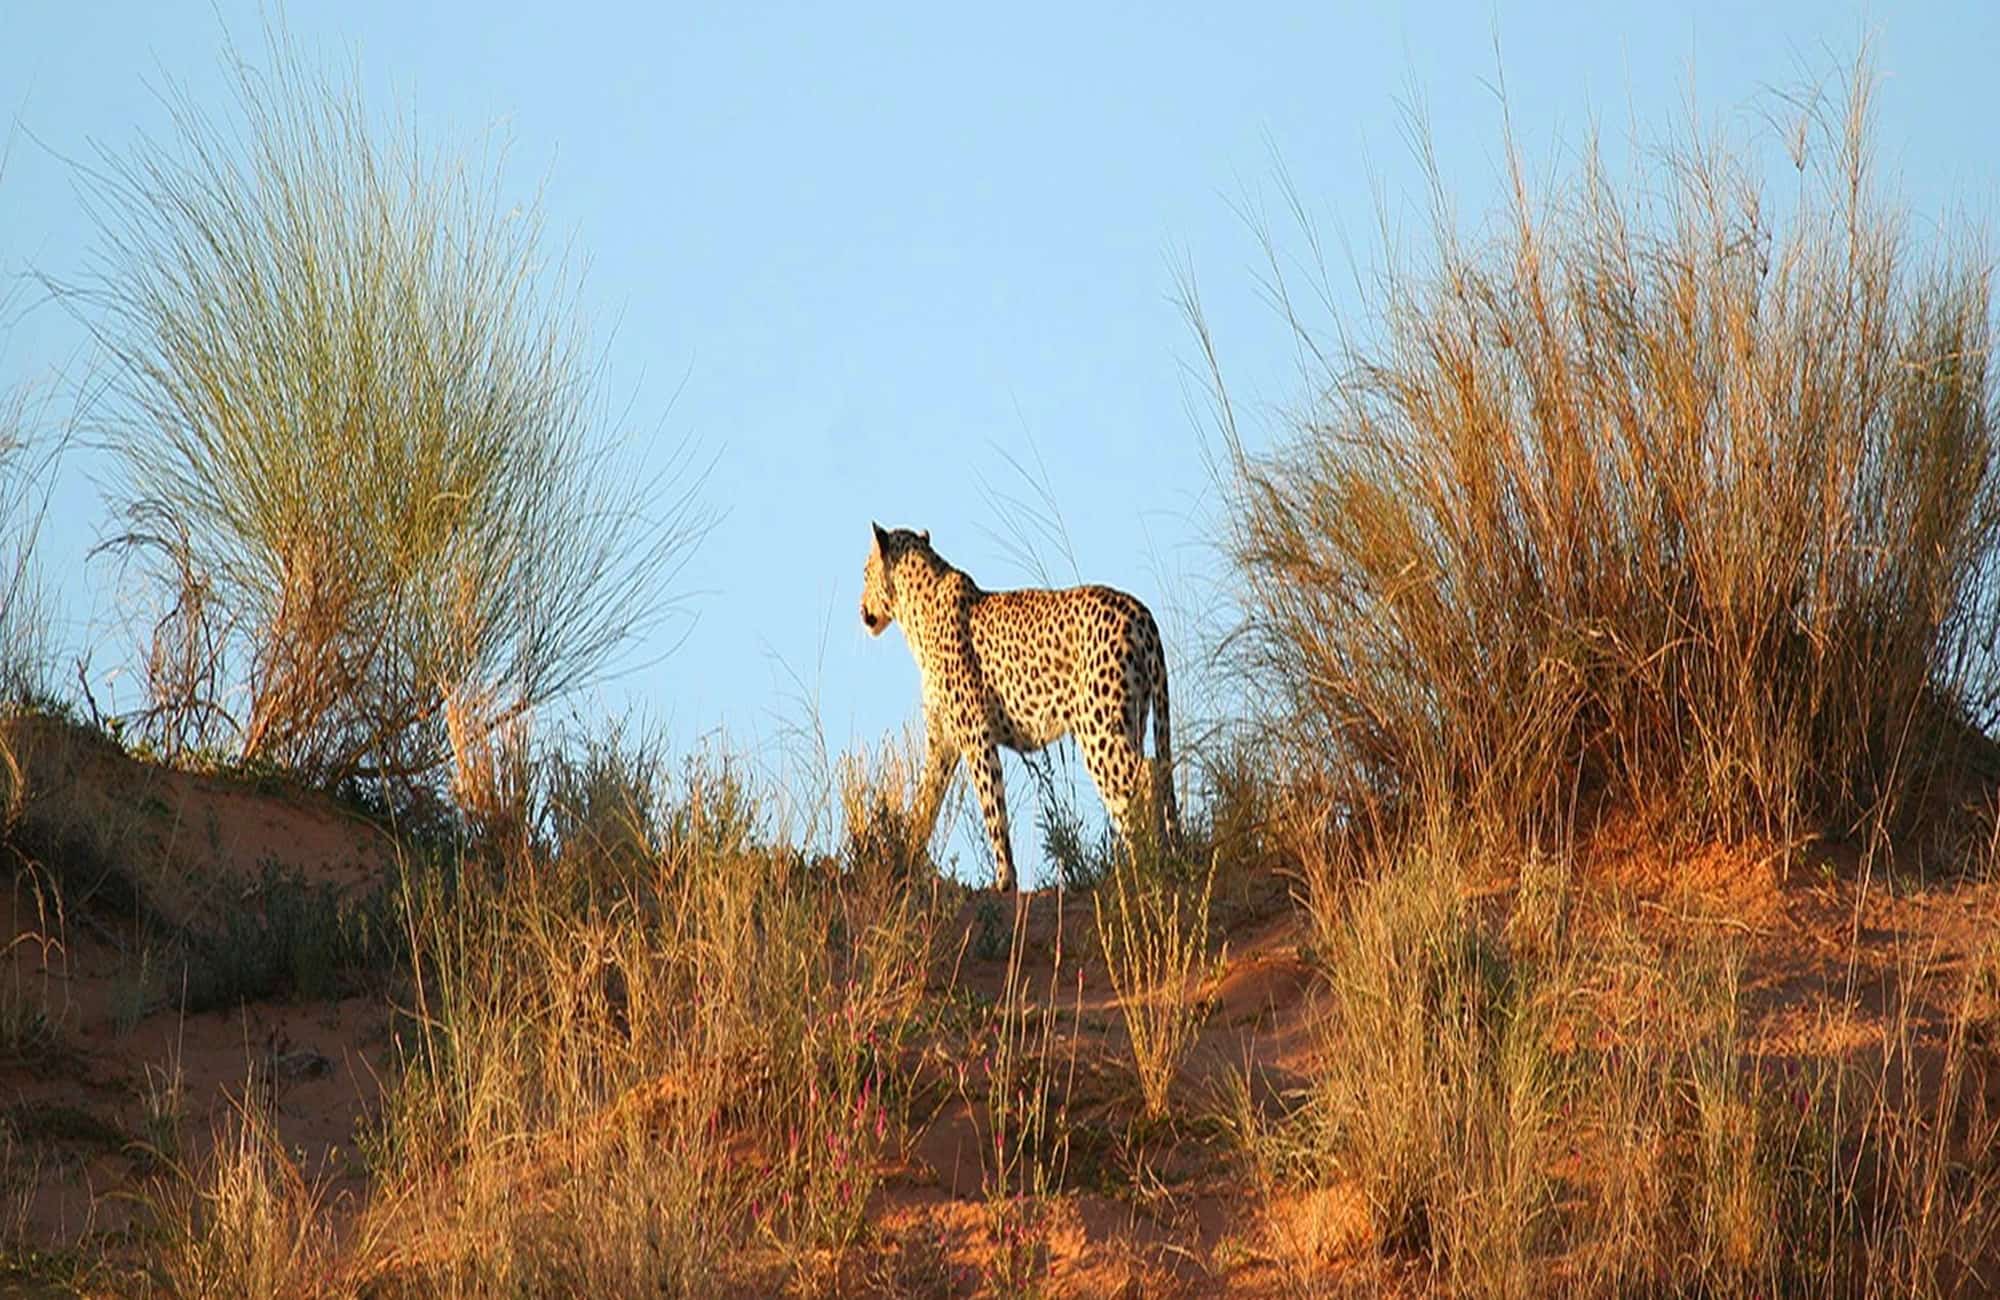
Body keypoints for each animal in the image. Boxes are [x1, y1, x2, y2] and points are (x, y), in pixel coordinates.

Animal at [860, 522, 1180, 891]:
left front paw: (1004, 879)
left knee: (1144, 777)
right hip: (1133, 720)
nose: (861, 608)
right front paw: (908, 857)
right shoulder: (943, 741)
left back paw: (1145, 862)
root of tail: (1139, 611)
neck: (915, 611)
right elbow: (927, 799)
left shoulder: (976, 735)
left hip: (1099, 729)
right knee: (1154, 775)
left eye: (864, 572)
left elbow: (992, 805)